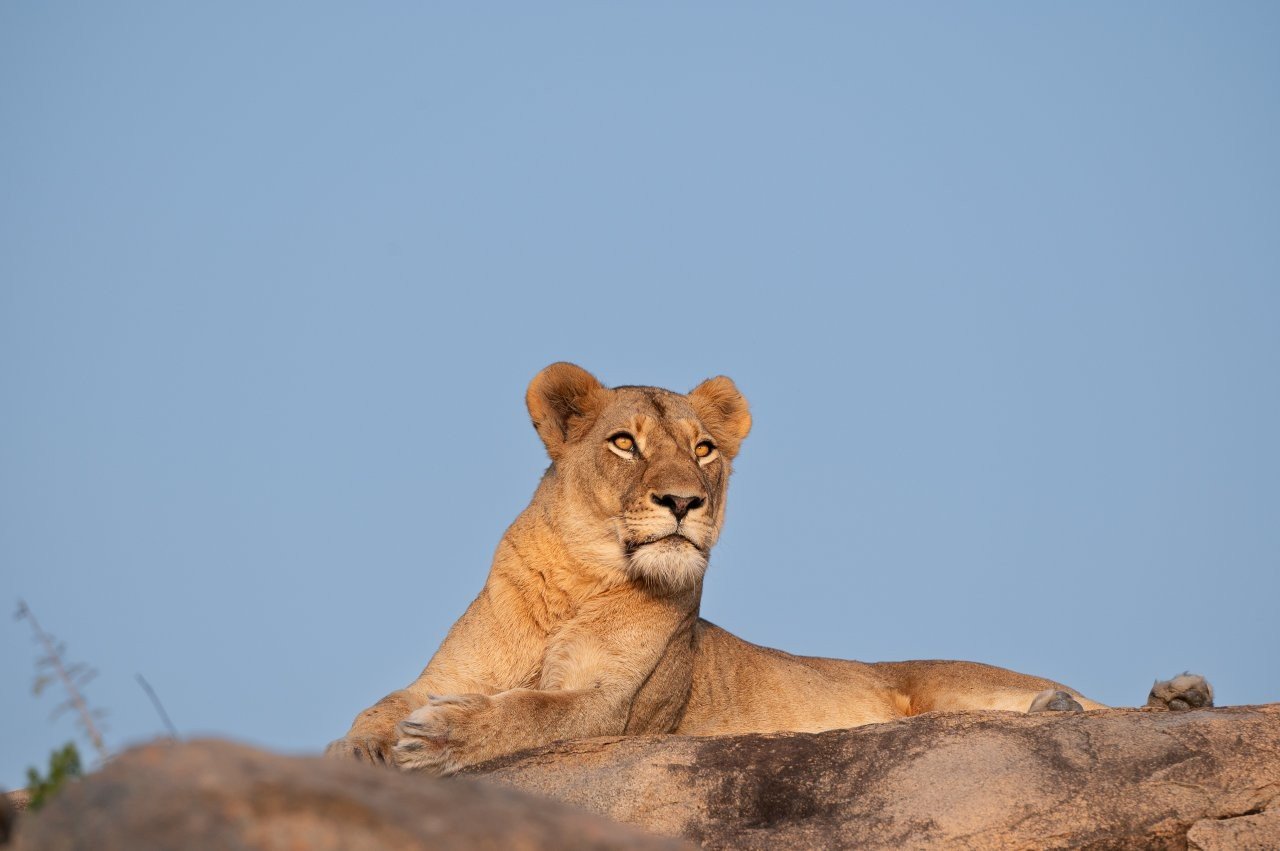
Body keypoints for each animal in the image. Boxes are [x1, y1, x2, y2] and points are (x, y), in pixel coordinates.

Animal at [327, 362, 1213, 775]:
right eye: (624, 442)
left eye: (703, 448)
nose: (685, 501)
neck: (577, 580)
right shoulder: (442, 672)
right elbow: (372, 708)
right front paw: (357, 752)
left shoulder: (619, 709)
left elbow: (534, 712)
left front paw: (439, 736)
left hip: (951, 684)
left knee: (1104, 710)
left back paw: (1172, 696)